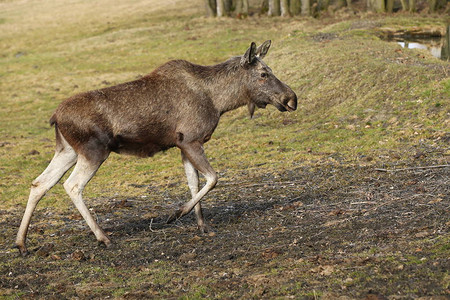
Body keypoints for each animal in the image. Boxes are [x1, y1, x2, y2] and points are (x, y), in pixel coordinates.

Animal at [15, 40, 298, 255]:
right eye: (263, 74)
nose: (291, 98)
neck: (219, 101)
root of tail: (55, 117)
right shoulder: (190, 140)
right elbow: (213, 178)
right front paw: (176, 214)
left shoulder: (183, 146)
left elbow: (195, 183)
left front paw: (202, 226)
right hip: (94, 150)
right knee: (71, 186)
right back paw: (103, 237)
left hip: (68, 150)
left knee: (39, 183)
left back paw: (21, 243)